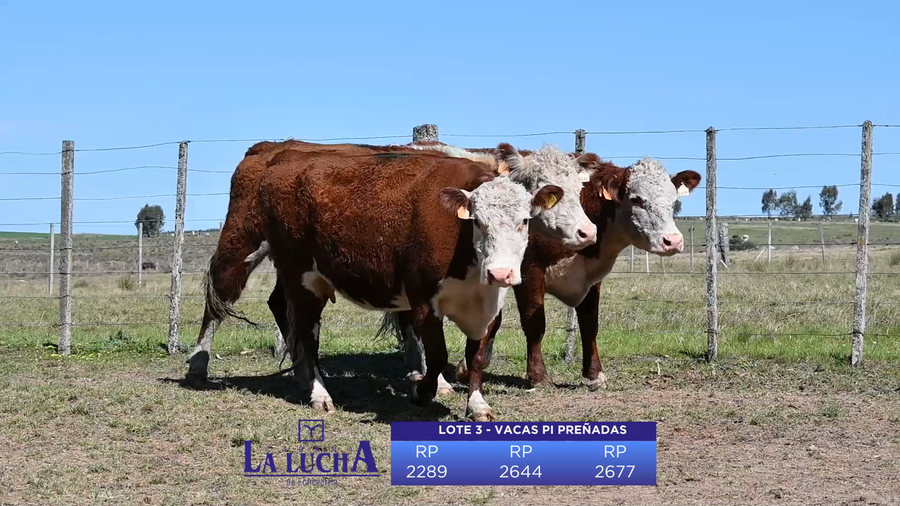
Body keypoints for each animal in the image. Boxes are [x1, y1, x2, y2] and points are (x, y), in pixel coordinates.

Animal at [185, 140, 597, 391]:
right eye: (544, 186)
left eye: (579, 188)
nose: (587, 232)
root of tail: (269, 150)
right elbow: (419, 328)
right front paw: (434, 378)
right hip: (241, 246)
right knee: (218, 299)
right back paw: (198, 365)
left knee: (280, 304)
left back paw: (304, 371)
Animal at [380, 155, 701, 397]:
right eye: (637, 199)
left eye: (674, 201)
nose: (673, 241)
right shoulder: (528, 271)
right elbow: (535, 323)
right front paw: (538, 377)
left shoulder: (590, 277)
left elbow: (589, 324)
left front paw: (594, 374)